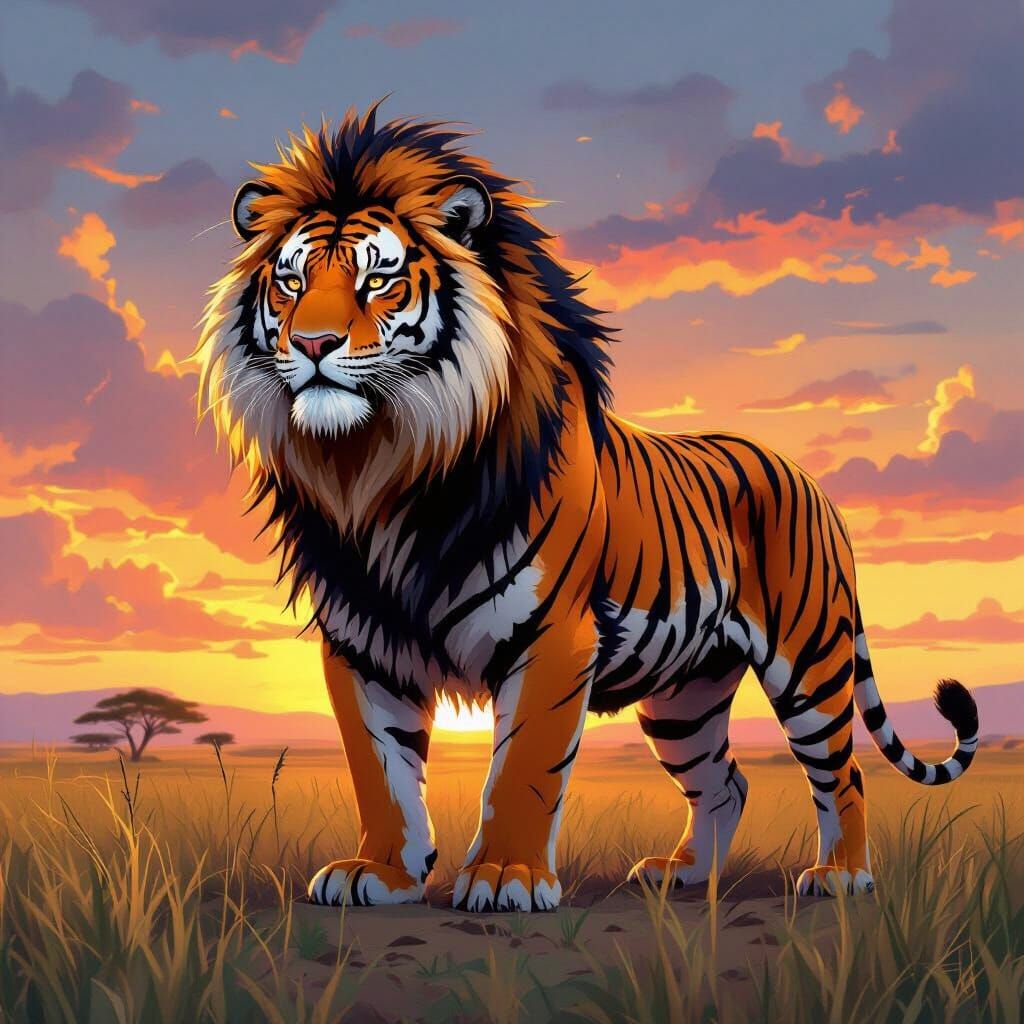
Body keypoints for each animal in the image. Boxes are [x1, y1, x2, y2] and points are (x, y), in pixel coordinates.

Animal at [195, 106, 979, 912]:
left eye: (377, 280)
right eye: (290, 282)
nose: (312, 342)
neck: (383, 466)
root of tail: (811, 481)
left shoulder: (553, 633)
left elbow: (523, 768)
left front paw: (505, 877)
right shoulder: (361, 640)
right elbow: (379, 769)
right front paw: (380, 873)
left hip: (811, 660)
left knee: (843, 773)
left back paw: (841, 876)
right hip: (686, 695)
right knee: (724, 782)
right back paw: (682, 874)